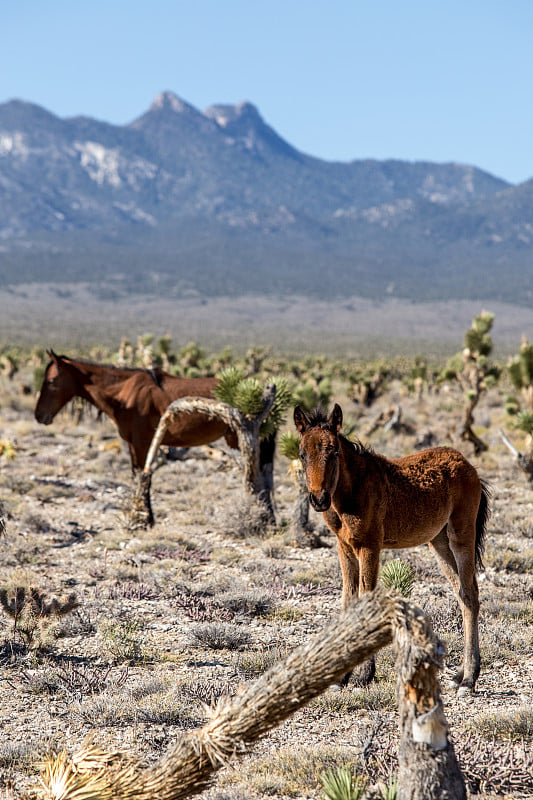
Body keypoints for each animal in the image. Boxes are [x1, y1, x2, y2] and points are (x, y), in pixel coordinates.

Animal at [34, 352, 274, 524]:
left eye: (52, 381)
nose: (39, 415)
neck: (124, 394)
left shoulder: (142, 443)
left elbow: (143, 477)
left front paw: (145, 519)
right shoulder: (134, 445)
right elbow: (138, 476)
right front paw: (144, 516)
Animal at [294, 404, 488, 692]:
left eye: (334, 451)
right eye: (302, 453)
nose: (319, 499)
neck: (353, 490)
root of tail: (469, 465)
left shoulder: (370, 546)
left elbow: (365, 599)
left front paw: (365, 674)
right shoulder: (344, 548)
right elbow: (348, 600)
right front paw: (342, 677)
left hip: (461, 535)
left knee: (470, 593)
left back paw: (469, 678)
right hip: (439, 542)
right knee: (462, 594)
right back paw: (460, 674)